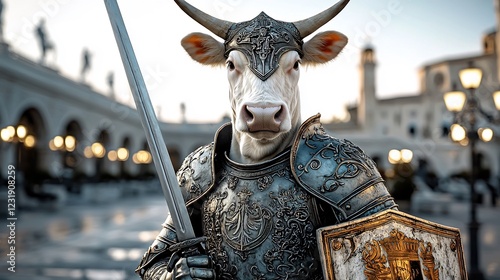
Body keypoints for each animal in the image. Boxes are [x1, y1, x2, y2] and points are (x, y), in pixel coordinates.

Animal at [137, 1, 398, 278]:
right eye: (230, 64)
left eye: (296, 64)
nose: (263, 114)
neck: (255, 160)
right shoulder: (188, 182)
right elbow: (156, 256)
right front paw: (186, 268)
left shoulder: (356, 177)